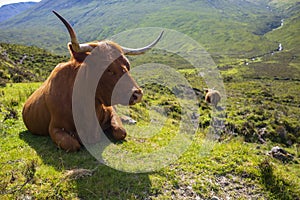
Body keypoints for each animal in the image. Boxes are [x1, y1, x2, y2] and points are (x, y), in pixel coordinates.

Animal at [22, 10, 164, 152]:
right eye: (106, 68)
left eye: (128, 66)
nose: (137, 94)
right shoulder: (55, 128)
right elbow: (72, 144)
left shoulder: (111, 112)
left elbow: (120, 131)